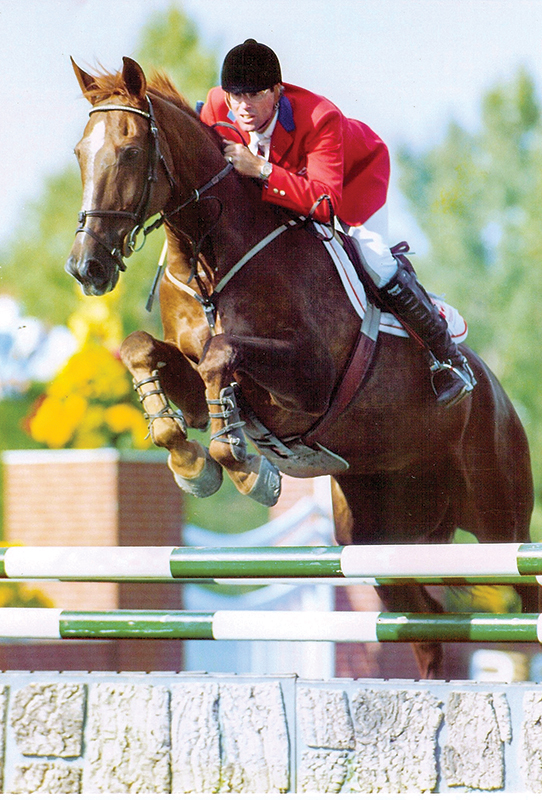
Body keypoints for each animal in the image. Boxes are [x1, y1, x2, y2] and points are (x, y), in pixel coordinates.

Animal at [65, 57, 536, 678]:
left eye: (129, 152)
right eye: (79, 152)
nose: (86, 267)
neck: (211, 257)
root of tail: (498, 396)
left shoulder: (307, 383)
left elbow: (223, 355)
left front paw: (243, 466)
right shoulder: (193, 376)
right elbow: (146, 350)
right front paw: (192, 461)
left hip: (500, 522)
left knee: (522, 595)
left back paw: (450, 374)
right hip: (379, 540)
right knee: (427, 627)